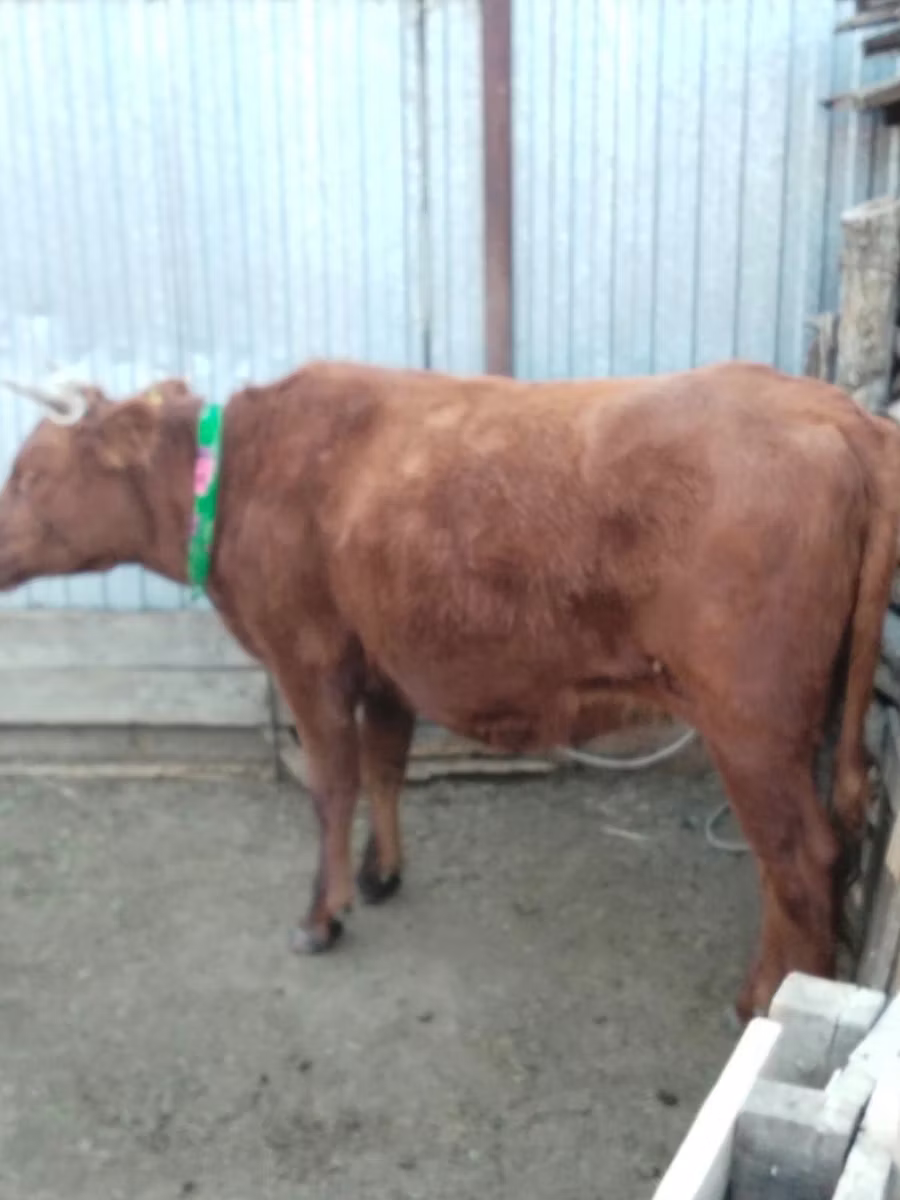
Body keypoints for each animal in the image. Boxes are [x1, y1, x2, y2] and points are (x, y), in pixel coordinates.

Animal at [1, 359, 898, 1021]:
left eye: (27, 476)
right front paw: (381, 874)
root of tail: (838, 412)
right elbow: (387, 767)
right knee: (795, 863)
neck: (248, 474)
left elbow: (332, 785)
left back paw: (772, 1004)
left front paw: (321, 915)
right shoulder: (384, 665)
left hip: (751, 724)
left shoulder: (307, 658)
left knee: (803, 860)